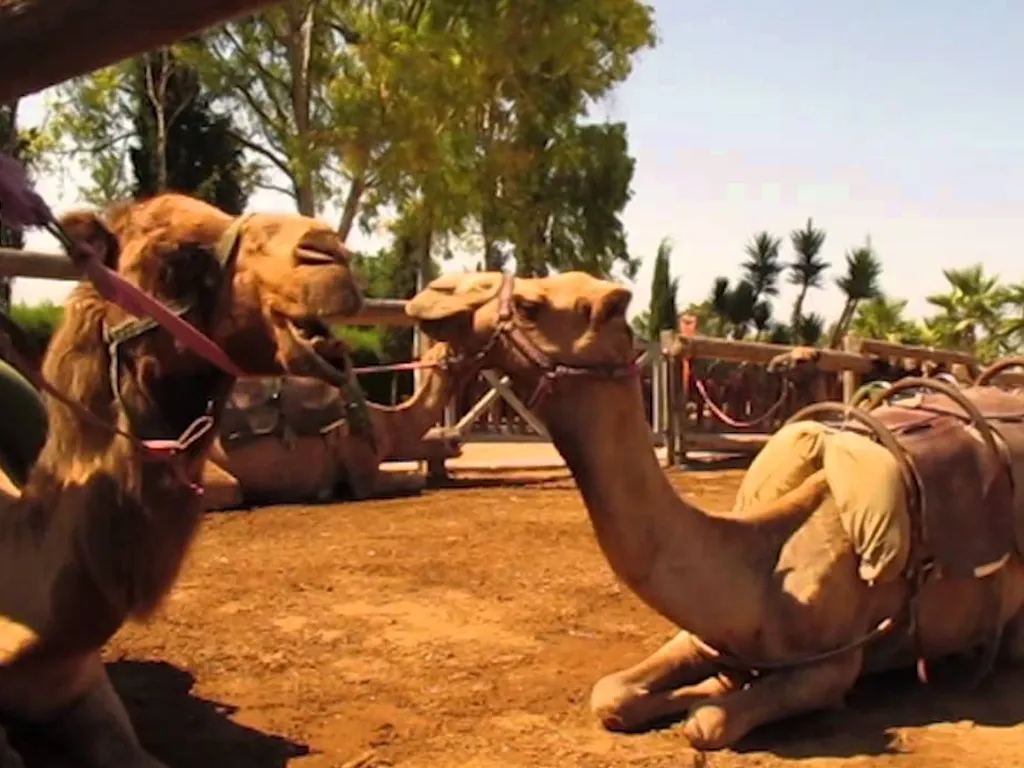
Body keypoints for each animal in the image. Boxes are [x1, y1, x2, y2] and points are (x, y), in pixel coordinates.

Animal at [202, 339, 478, 505]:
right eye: (458, 348)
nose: (456, 440)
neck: (390, 424)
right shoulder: (363, 470)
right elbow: (413, 480)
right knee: (234, 490)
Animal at [404, 270, 1024, 750]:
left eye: (532, 304)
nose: (431, 293)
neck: (763, 570)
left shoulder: (832, 665)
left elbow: (707, 722)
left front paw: (711, 697)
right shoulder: (705, 635)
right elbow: (611, 695)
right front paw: (702, 687)